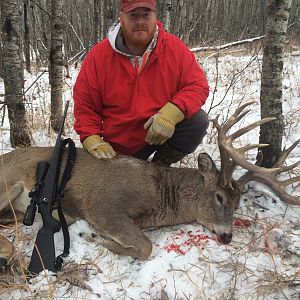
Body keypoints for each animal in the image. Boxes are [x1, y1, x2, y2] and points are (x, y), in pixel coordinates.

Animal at [0, 101, 298, 272]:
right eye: (219, 197)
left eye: (237, 204)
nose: (227, 236)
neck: (159, 195)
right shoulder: (103, 206)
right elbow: (145, 247)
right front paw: (93, 237)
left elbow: (144, 245)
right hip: (8, 182)